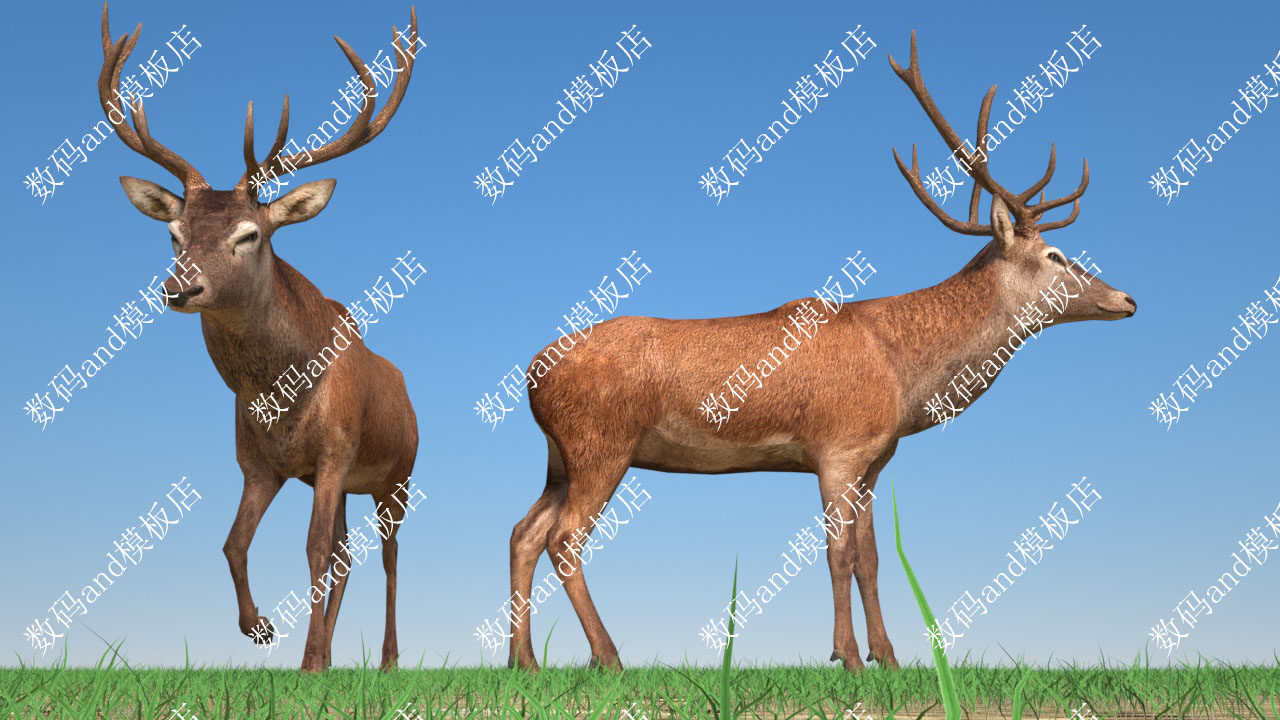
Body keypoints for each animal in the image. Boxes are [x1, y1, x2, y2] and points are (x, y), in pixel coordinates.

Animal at [98, 4, 420, 672]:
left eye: (249, 234)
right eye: (174, 232)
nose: (181, 287)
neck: (280, 393)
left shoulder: (335, 448)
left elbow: (313, 549)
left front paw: (309, 655)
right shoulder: (258, 464)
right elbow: (234, 544)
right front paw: (263, 629)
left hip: (398, 473)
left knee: (389, 554)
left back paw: (386, 658)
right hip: (348, 483)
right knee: (347, 552)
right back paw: (333, 649)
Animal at [507, 31, 1136, 673]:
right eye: (1056, 256)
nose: (1127, 298)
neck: (902, 374)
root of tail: (531, 373)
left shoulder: (875, 459)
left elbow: (872, 558)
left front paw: (889, 659)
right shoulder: (838, 447)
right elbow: (838, 555)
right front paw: (848, 656)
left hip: (560, 455)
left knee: (523, 532)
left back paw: (523, 661)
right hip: (601, 442)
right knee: (563, 538)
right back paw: (607, 658)